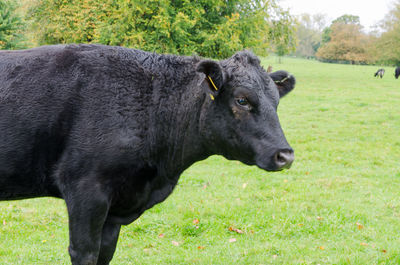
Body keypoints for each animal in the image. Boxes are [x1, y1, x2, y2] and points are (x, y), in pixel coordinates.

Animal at [0, 44, 294, 262]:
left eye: (276, 102)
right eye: (242, 100)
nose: (286, 156)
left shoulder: (116, 208)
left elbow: (105, 253)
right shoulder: (85, 190)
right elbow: (84, 252)